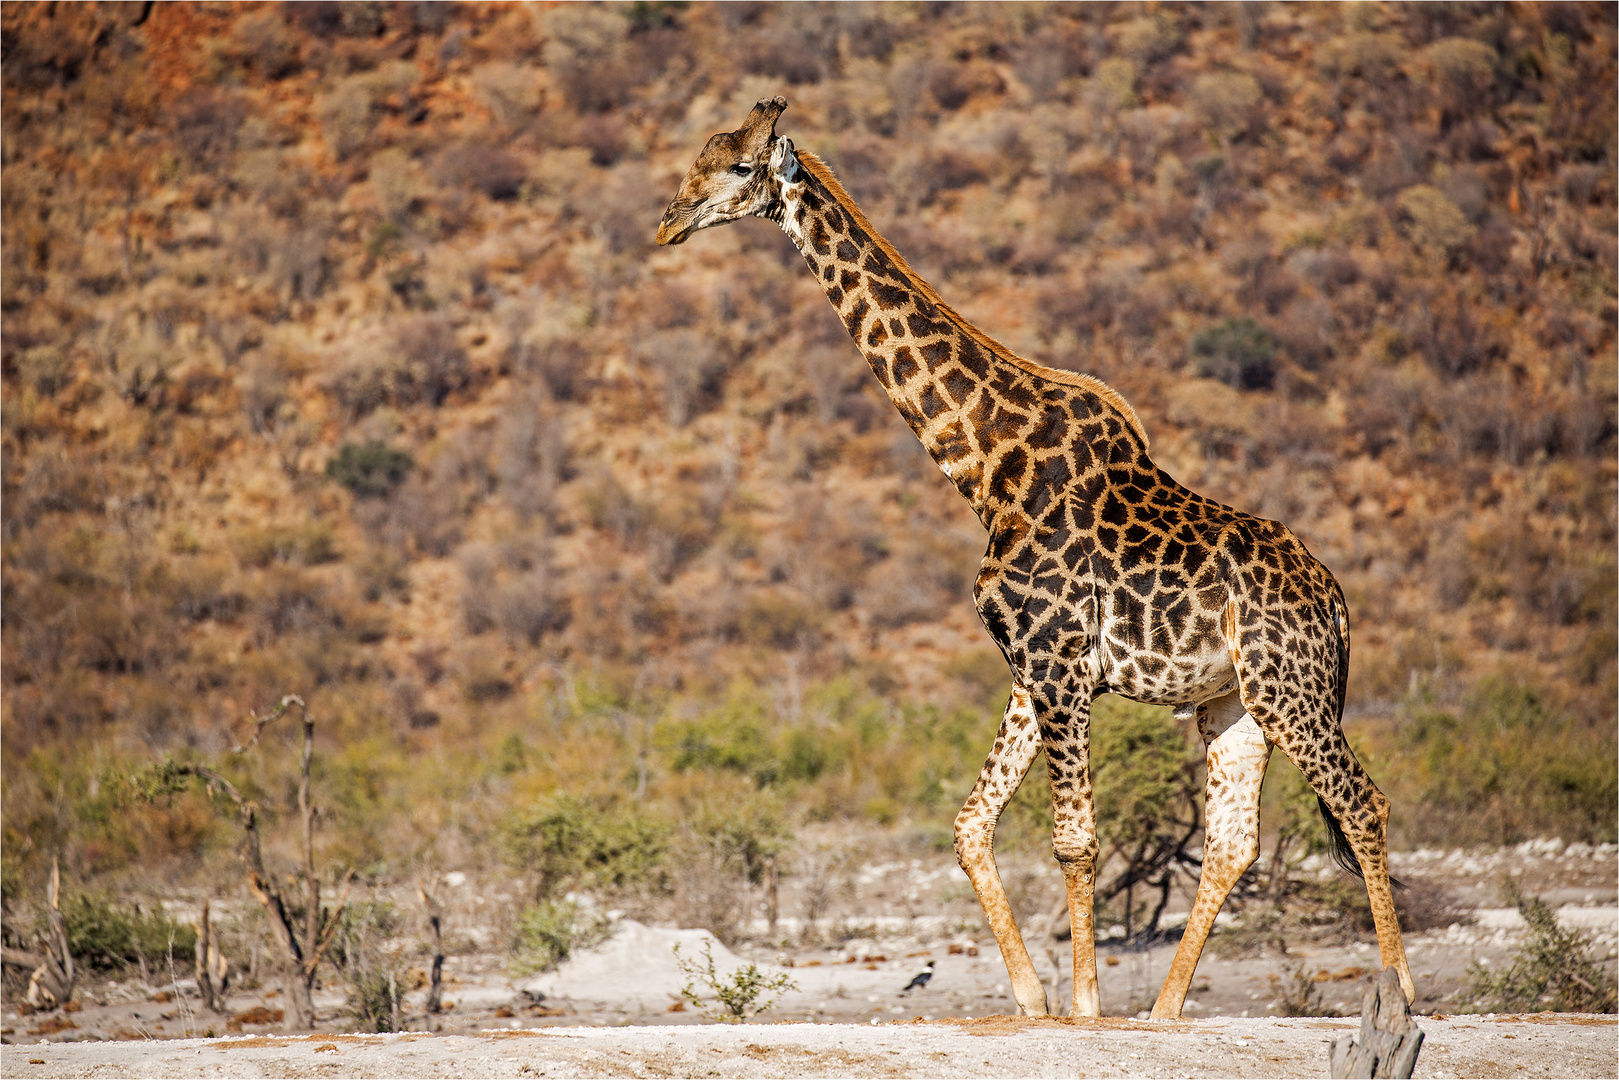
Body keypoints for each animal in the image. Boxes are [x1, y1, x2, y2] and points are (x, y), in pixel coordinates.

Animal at [650, 97, 1411, 1016]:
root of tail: (1333, 598)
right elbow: (971, 824)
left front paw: (1081, 1007)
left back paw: (1400, 988)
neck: (986, 467)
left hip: (1286, 685)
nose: (667, 223)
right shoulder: (1029, 667)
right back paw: (1163, 1013)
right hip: (1231, 703)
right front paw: (1033, 999)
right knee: (1234, 841)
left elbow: (1073, 839)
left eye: (737, 167)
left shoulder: (1055, 660)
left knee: (1362, 803)